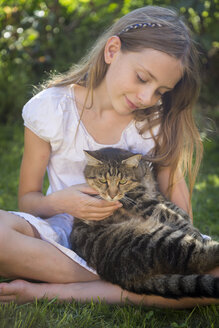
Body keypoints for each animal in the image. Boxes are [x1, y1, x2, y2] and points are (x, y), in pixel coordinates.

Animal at [70, 147, 219, 298]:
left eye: (122, 182)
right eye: (102, 180)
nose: (112, 195)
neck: (141, 179)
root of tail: (121, 279)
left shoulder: (155, 193)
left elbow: (176, 209)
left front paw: (188, 219)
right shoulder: (144, 203)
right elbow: (171, 215)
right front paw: (193, 230)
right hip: (158, 239)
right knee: (199, 258)